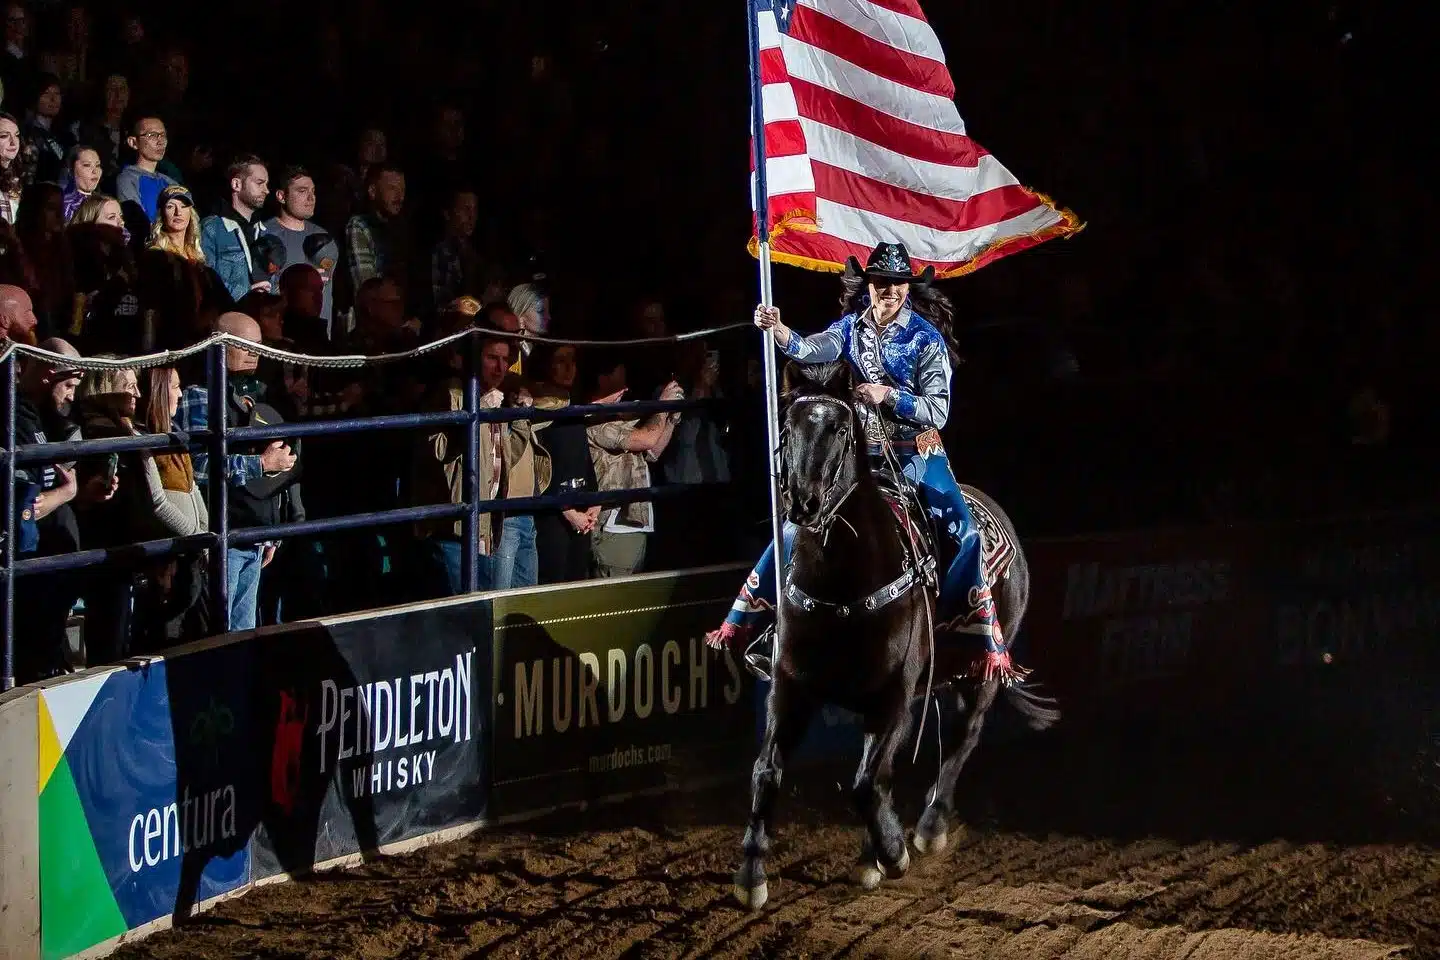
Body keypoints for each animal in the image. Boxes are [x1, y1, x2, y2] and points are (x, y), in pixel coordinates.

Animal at [731, 359, 1059, 909]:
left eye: (840, 429)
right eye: (788, 428)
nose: (804, 503)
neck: (844, 585)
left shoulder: (893, 698)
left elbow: (867, 782)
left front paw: (894, 852)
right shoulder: (791, 689)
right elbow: (766, 771)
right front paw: (752, 873)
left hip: (980, 676)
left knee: (961, 740)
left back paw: (927, 829)